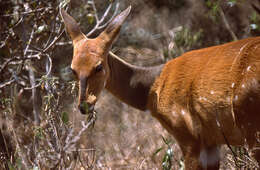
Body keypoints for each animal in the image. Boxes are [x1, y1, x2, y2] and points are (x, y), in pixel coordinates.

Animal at [60, 5, 260, 169]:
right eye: (73, 69)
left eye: (99, 66)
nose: (84, 105)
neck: (151, 90)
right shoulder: (211, 142)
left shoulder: (189, 136)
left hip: (250, 125)